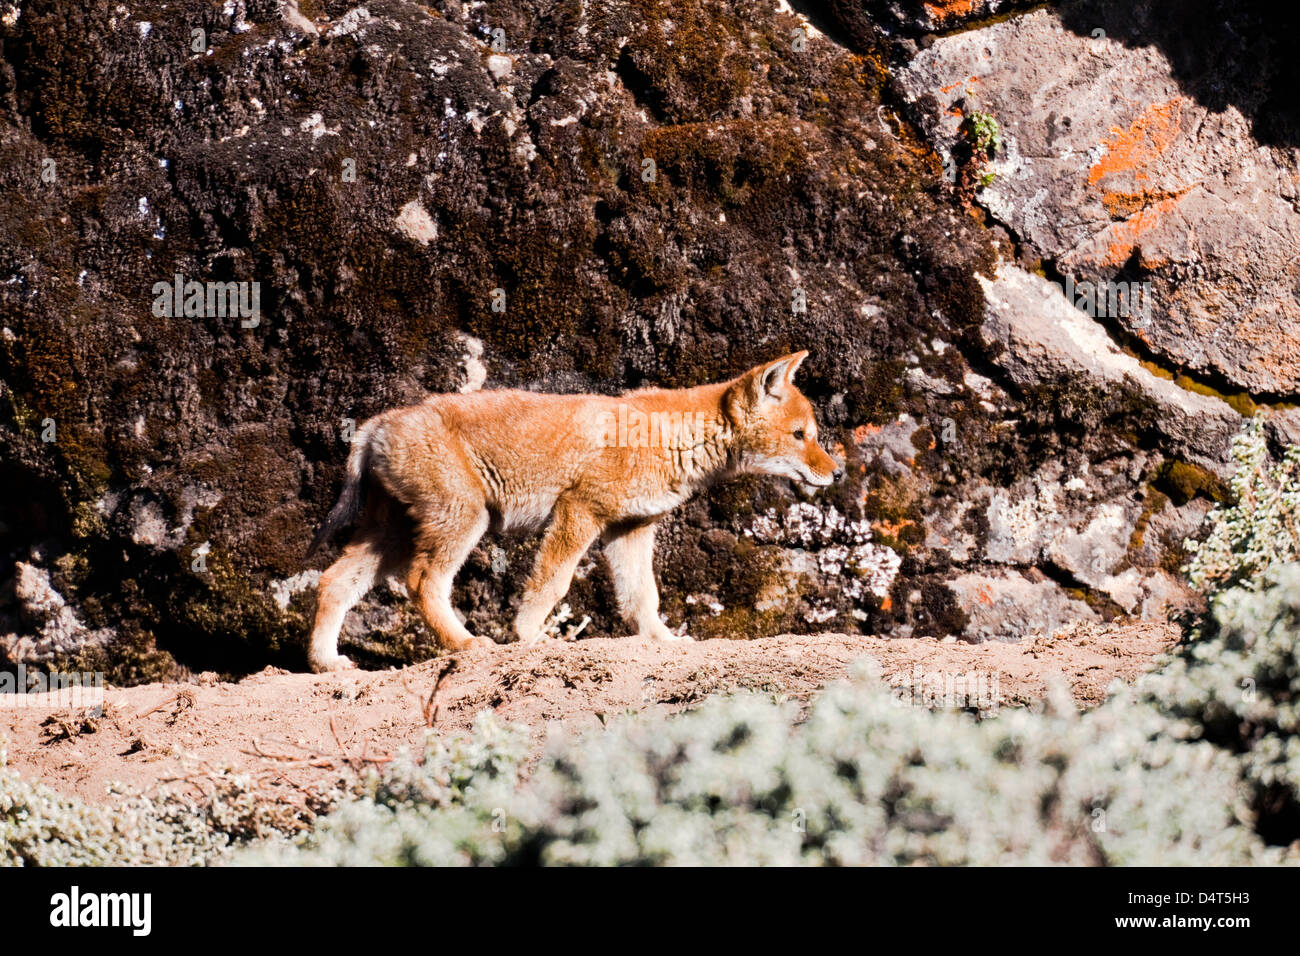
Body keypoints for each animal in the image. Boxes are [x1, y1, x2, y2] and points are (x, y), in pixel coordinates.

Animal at [305, 351, 840, 671]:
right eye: (801, 435)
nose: (836, 474)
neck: (671, 435)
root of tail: (377, 424)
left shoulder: (630, 529)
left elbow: (642, 599)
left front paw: (663, 642)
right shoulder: (579, 512)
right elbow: (551, 586)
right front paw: (529, 637)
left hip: (392, 536)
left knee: (333, 582)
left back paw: (326, 664)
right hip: (462, 523)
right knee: (421, 582)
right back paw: (467, 644)